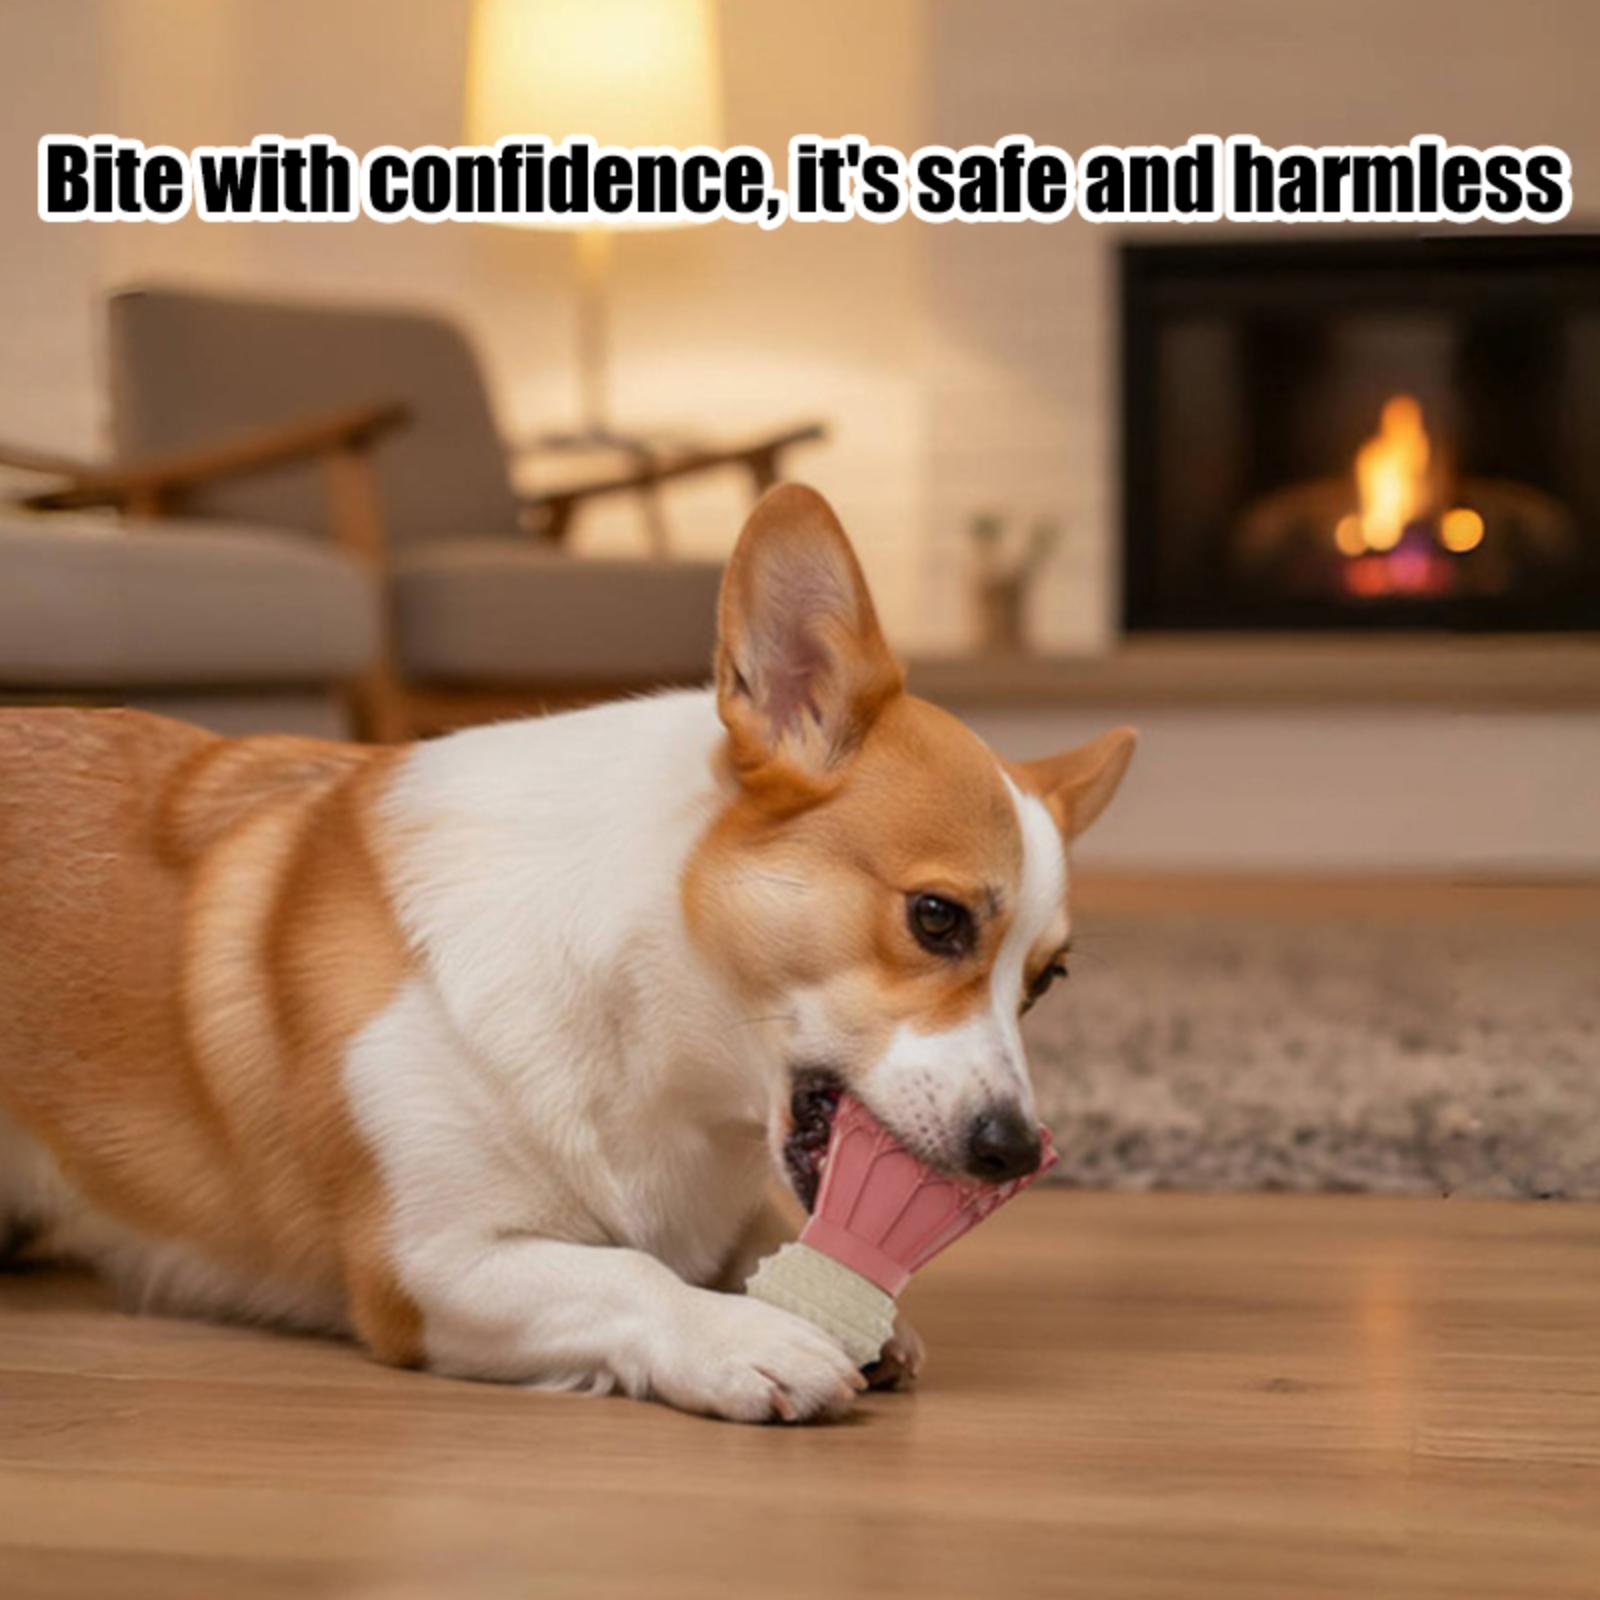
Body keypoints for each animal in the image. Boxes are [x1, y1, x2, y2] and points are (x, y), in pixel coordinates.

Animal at [0, 485, 1134, 1423]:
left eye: (1046, 982)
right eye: (937, 918)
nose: (1014, 1151)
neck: (659, 1043)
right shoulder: (429, 1266)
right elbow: (628, 1275)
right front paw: (743, 1336)